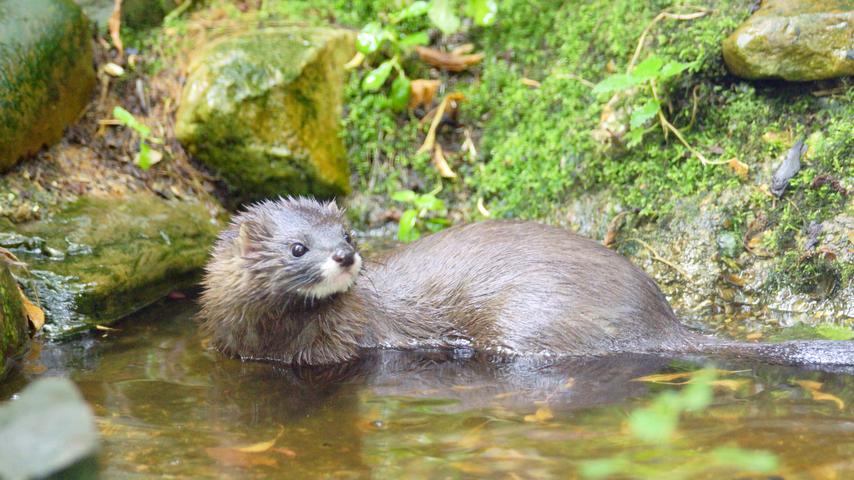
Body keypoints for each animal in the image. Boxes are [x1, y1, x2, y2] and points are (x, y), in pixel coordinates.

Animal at [197, 197, 852, 366]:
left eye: (350, 235)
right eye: (298, 246)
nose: (344, 257)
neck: (267, 342)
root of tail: (657, 313)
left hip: (531, 318)